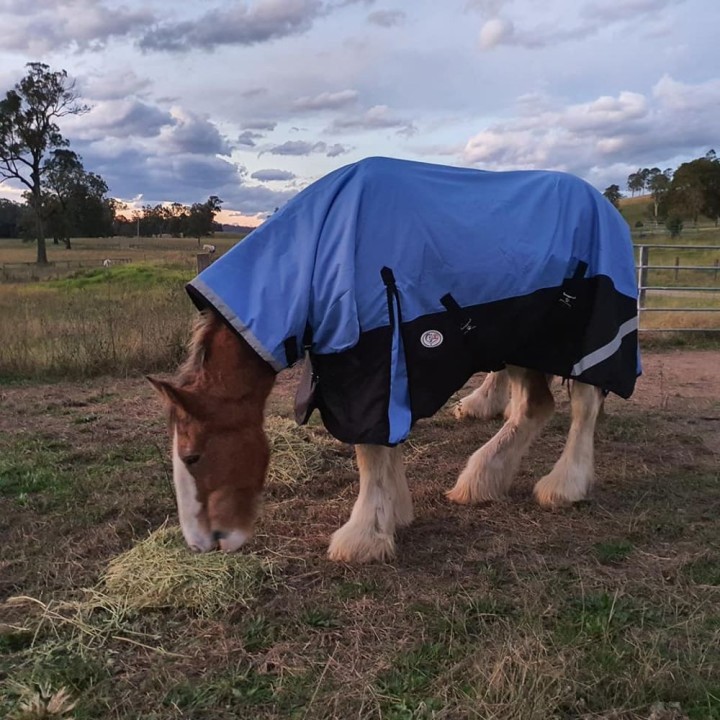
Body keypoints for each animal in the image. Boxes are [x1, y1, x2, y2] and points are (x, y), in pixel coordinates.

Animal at [149, 157, 640, 563]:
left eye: (192, 457)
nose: (204, 543)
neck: (321, 250)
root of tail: (605, 206)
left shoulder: (369, 367)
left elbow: (369, 451)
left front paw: (363, 534)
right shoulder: (384, 367)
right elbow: (386, 447)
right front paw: (394, 513)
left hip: (584, 340)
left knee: (583, 407)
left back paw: (564, 486)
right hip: (518, 339)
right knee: (535, 407)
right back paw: (482, 482)